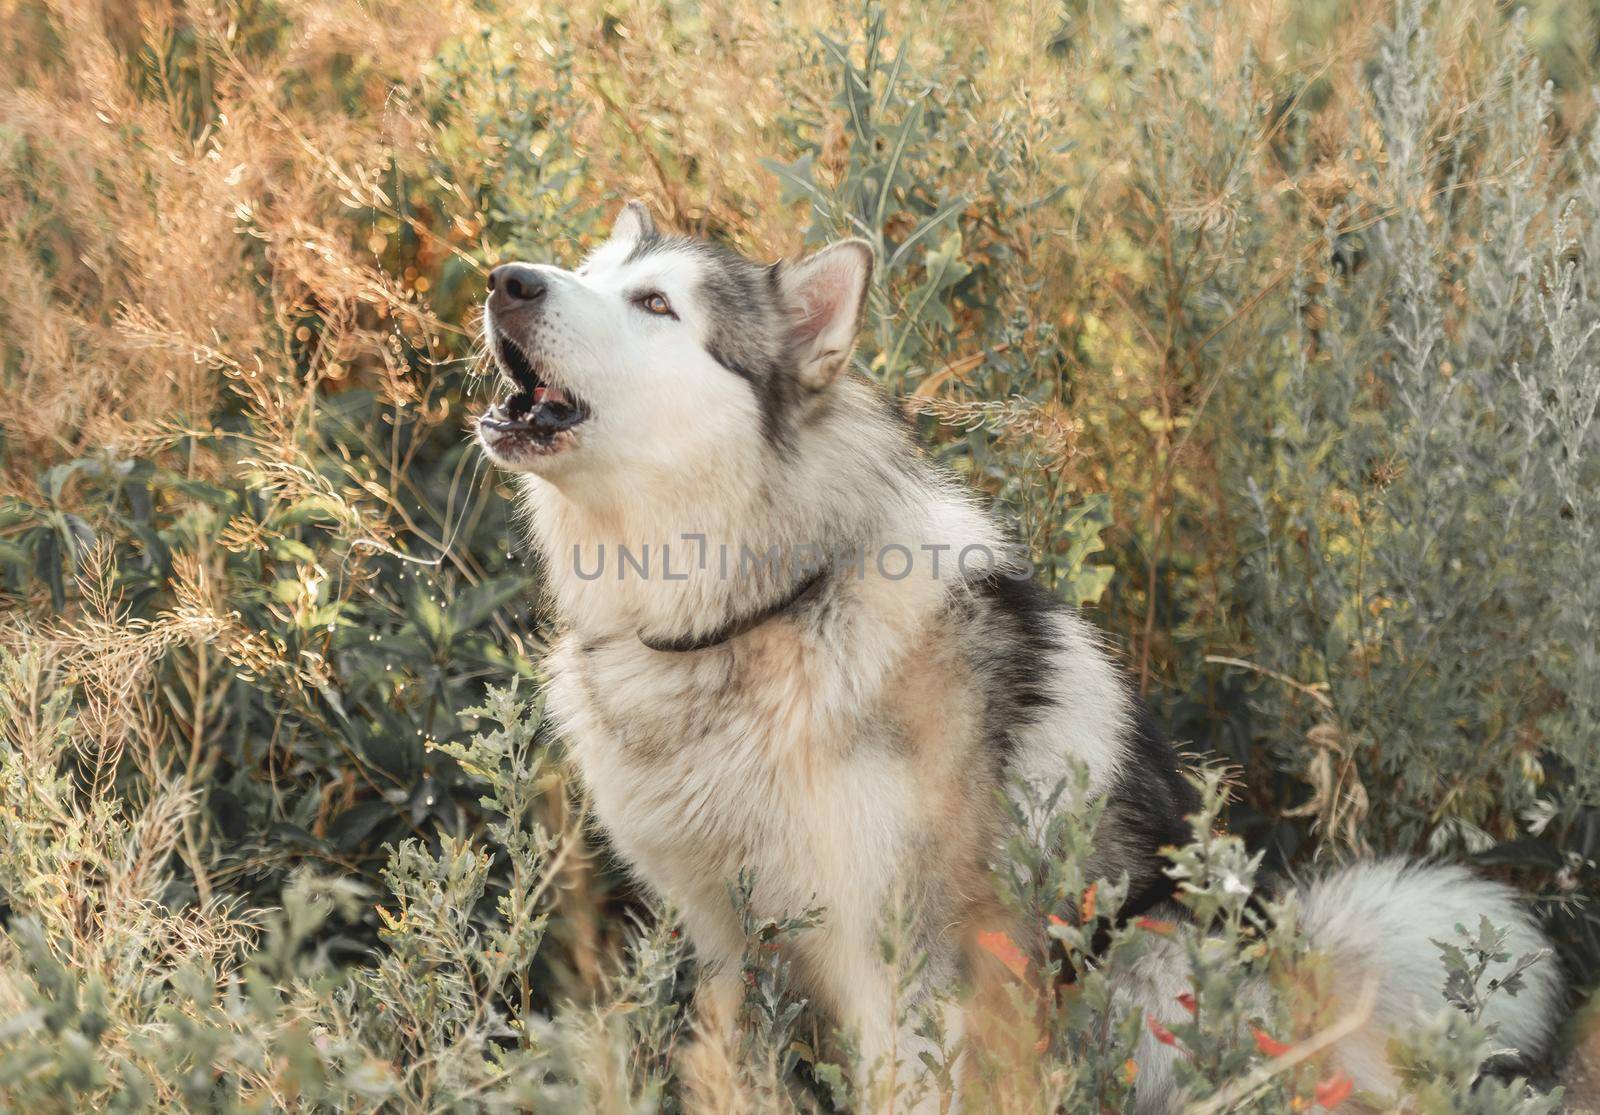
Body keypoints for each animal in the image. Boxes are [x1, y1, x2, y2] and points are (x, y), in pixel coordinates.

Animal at [473, 204, 1561, 1107]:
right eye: (586, 270)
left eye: (655, 304)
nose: (506, 279)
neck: (759, 610)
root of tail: (1301, 974)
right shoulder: (725, 940)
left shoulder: (900, 960)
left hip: (1148, 957)